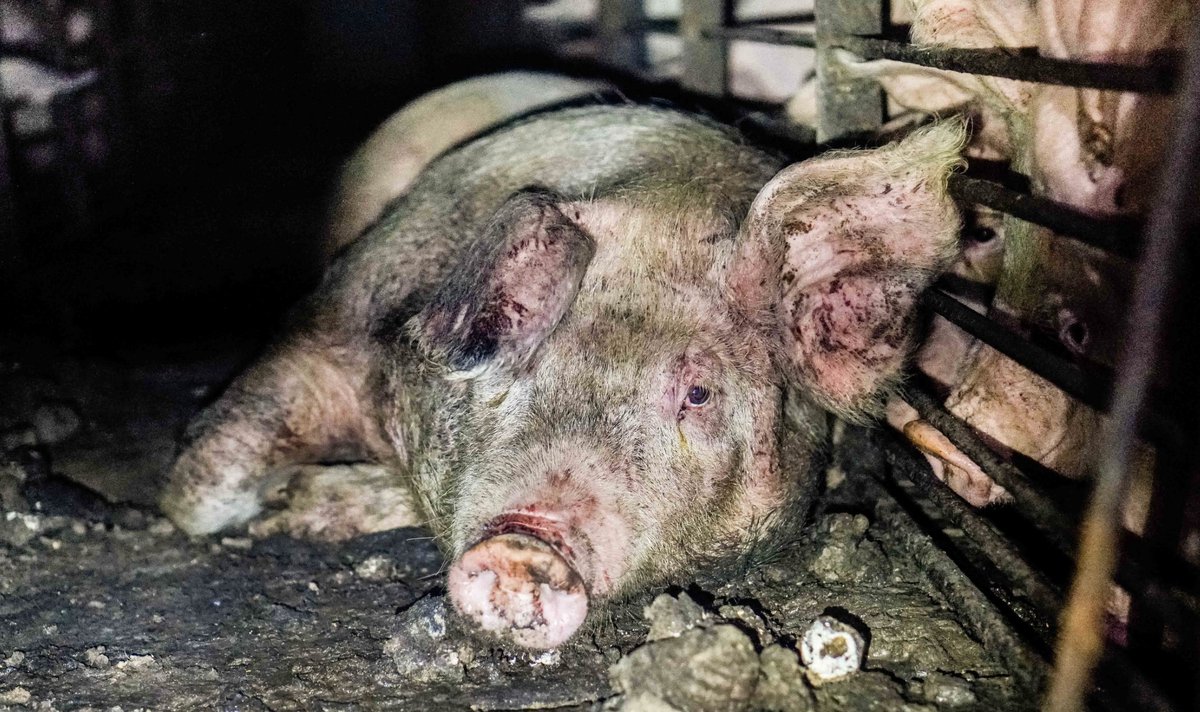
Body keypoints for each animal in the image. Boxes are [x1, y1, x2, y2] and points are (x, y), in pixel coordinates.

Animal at [159, 76, 968, 648]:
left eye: (699, 393)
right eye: (517, 356)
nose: (523, 546)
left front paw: (303, 504)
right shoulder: (335, 318)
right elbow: (198, 489)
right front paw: (275, 508)